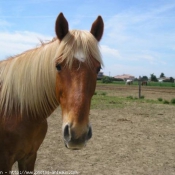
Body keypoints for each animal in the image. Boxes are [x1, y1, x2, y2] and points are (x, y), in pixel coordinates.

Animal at [0, 12, 104, 174]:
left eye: (98, 68)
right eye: (58, 66)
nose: (77, 134)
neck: (18, 110)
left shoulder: (29, 156)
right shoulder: (5, 162)